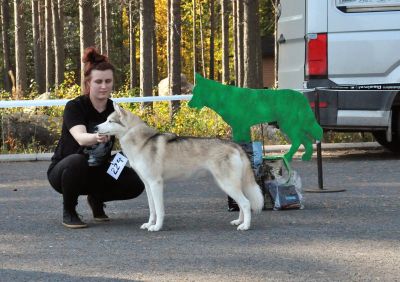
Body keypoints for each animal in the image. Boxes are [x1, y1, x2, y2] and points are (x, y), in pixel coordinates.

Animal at [95, 103, 264, 231]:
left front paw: (157, 227)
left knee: (246, 203)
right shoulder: (148, 185)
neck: (142, 142)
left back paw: (245, 226)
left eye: (110, 121)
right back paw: (239, 221)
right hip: (228, 185)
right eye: (105, 120)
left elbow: (159, 210)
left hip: (228, 184)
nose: (95, 128)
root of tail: (235, 145)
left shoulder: (156, 184)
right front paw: (149, 224)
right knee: (241, 204)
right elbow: (152, 209)